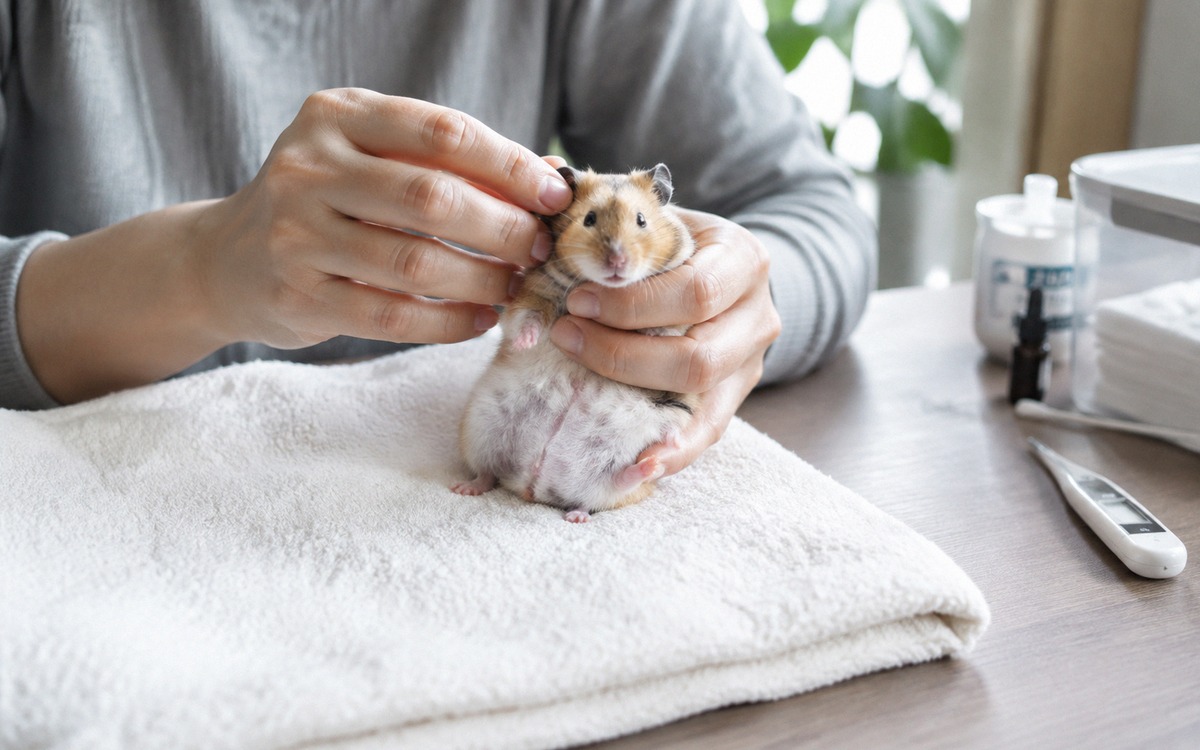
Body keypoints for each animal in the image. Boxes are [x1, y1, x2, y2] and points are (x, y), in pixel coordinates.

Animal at [450, 163, 697, 523]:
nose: (616, 262)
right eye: (589, 219)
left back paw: (651, 462)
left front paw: (650, 336)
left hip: (625, 446)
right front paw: (524, 343)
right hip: (481, 425)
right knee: (487, 473)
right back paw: (465, 489)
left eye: (641, 220)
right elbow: (528, 319)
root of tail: (534, 485)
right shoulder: (532, 293)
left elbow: (668, 330)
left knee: (612, 486)